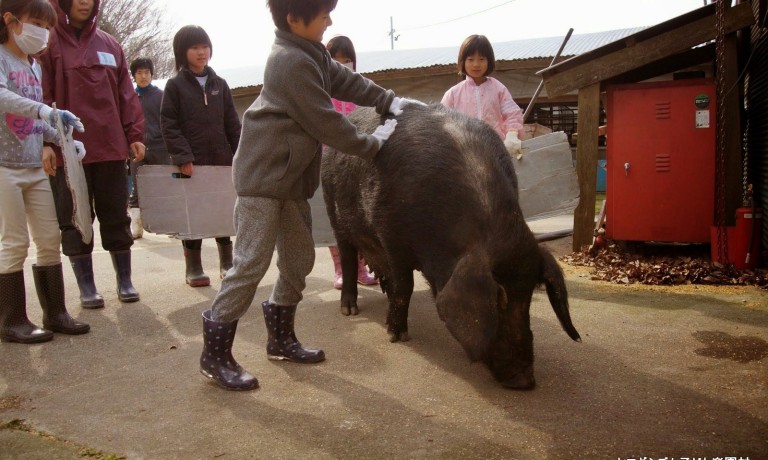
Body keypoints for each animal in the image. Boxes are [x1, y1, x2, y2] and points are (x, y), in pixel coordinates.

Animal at [320, 103, 580, 388]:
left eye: (529, 296)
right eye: (498, 298)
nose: (525, 381)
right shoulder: (390, 235)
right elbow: (404, 287)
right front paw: (397, 336)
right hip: (334, 213)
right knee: (347, 257)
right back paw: (349, 309)